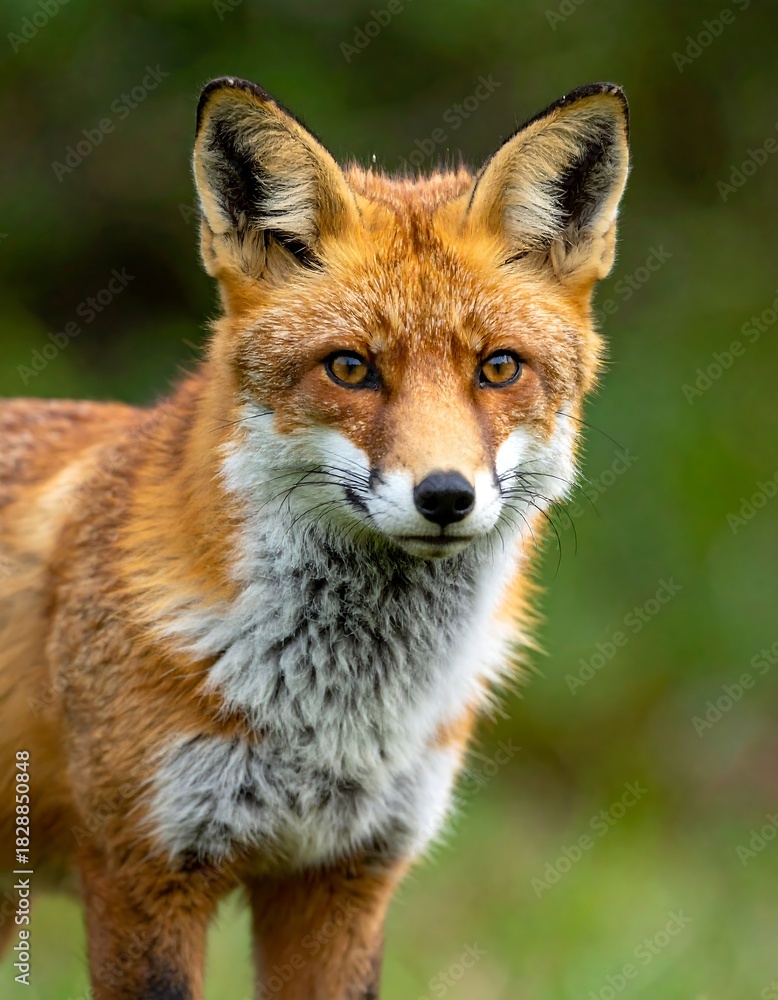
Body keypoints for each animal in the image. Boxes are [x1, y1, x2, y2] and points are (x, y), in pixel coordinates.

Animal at [0, 77, 629, 998]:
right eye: (351, 368)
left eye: (499, 368)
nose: (447, 496)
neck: (336, 717)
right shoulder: (143, 870)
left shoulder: (344, 877)